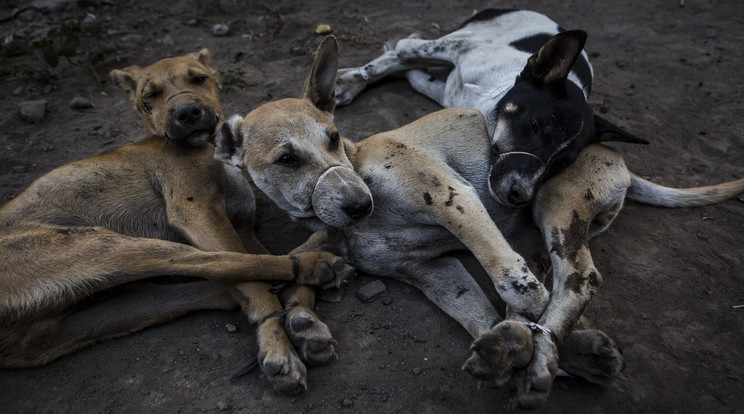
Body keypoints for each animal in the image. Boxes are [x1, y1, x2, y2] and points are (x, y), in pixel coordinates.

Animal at [0, 50, 354, 392]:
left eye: (198, 79)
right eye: (150, 95)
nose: (187, 112)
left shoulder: (242, 228)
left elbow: (252, 265)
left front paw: (302, 317)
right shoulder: (197, 213)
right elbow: (250, 275)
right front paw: (278, 346)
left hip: (98, 317)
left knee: (221, 280)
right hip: (102, 245)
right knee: (220, 264)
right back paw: (316, 259)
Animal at [336, 8, 644, 210]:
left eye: (561, 164)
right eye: (534, 126)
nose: (521, 197)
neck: (487, 110)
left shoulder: (447, 90)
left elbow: (416, 74)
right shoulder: (463, 49)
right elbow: (404, 48)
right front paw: (360, 75)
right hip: (469, 34)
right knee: (404, 50)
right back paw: (352, 79)